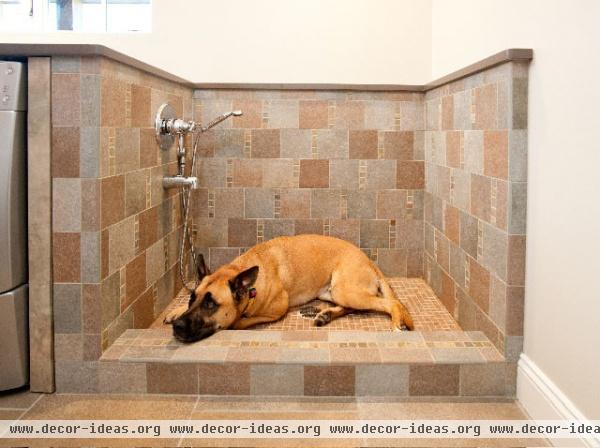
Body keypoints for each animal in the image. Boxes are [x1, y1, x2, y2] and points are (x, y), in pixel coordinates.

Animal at [166, 233, 414, 342]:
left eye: (211, 304)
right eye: (192, 298)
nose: (178, 326)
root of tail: (370, 261)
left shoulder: (277, 310)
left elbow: (238, 322)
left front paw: (234, 322)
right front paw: (176, 311)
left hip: (346, 290)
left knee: (392, 303)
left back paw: (396, 323)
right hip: (335, 292)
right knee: (353, 307)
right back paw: (323, 314)